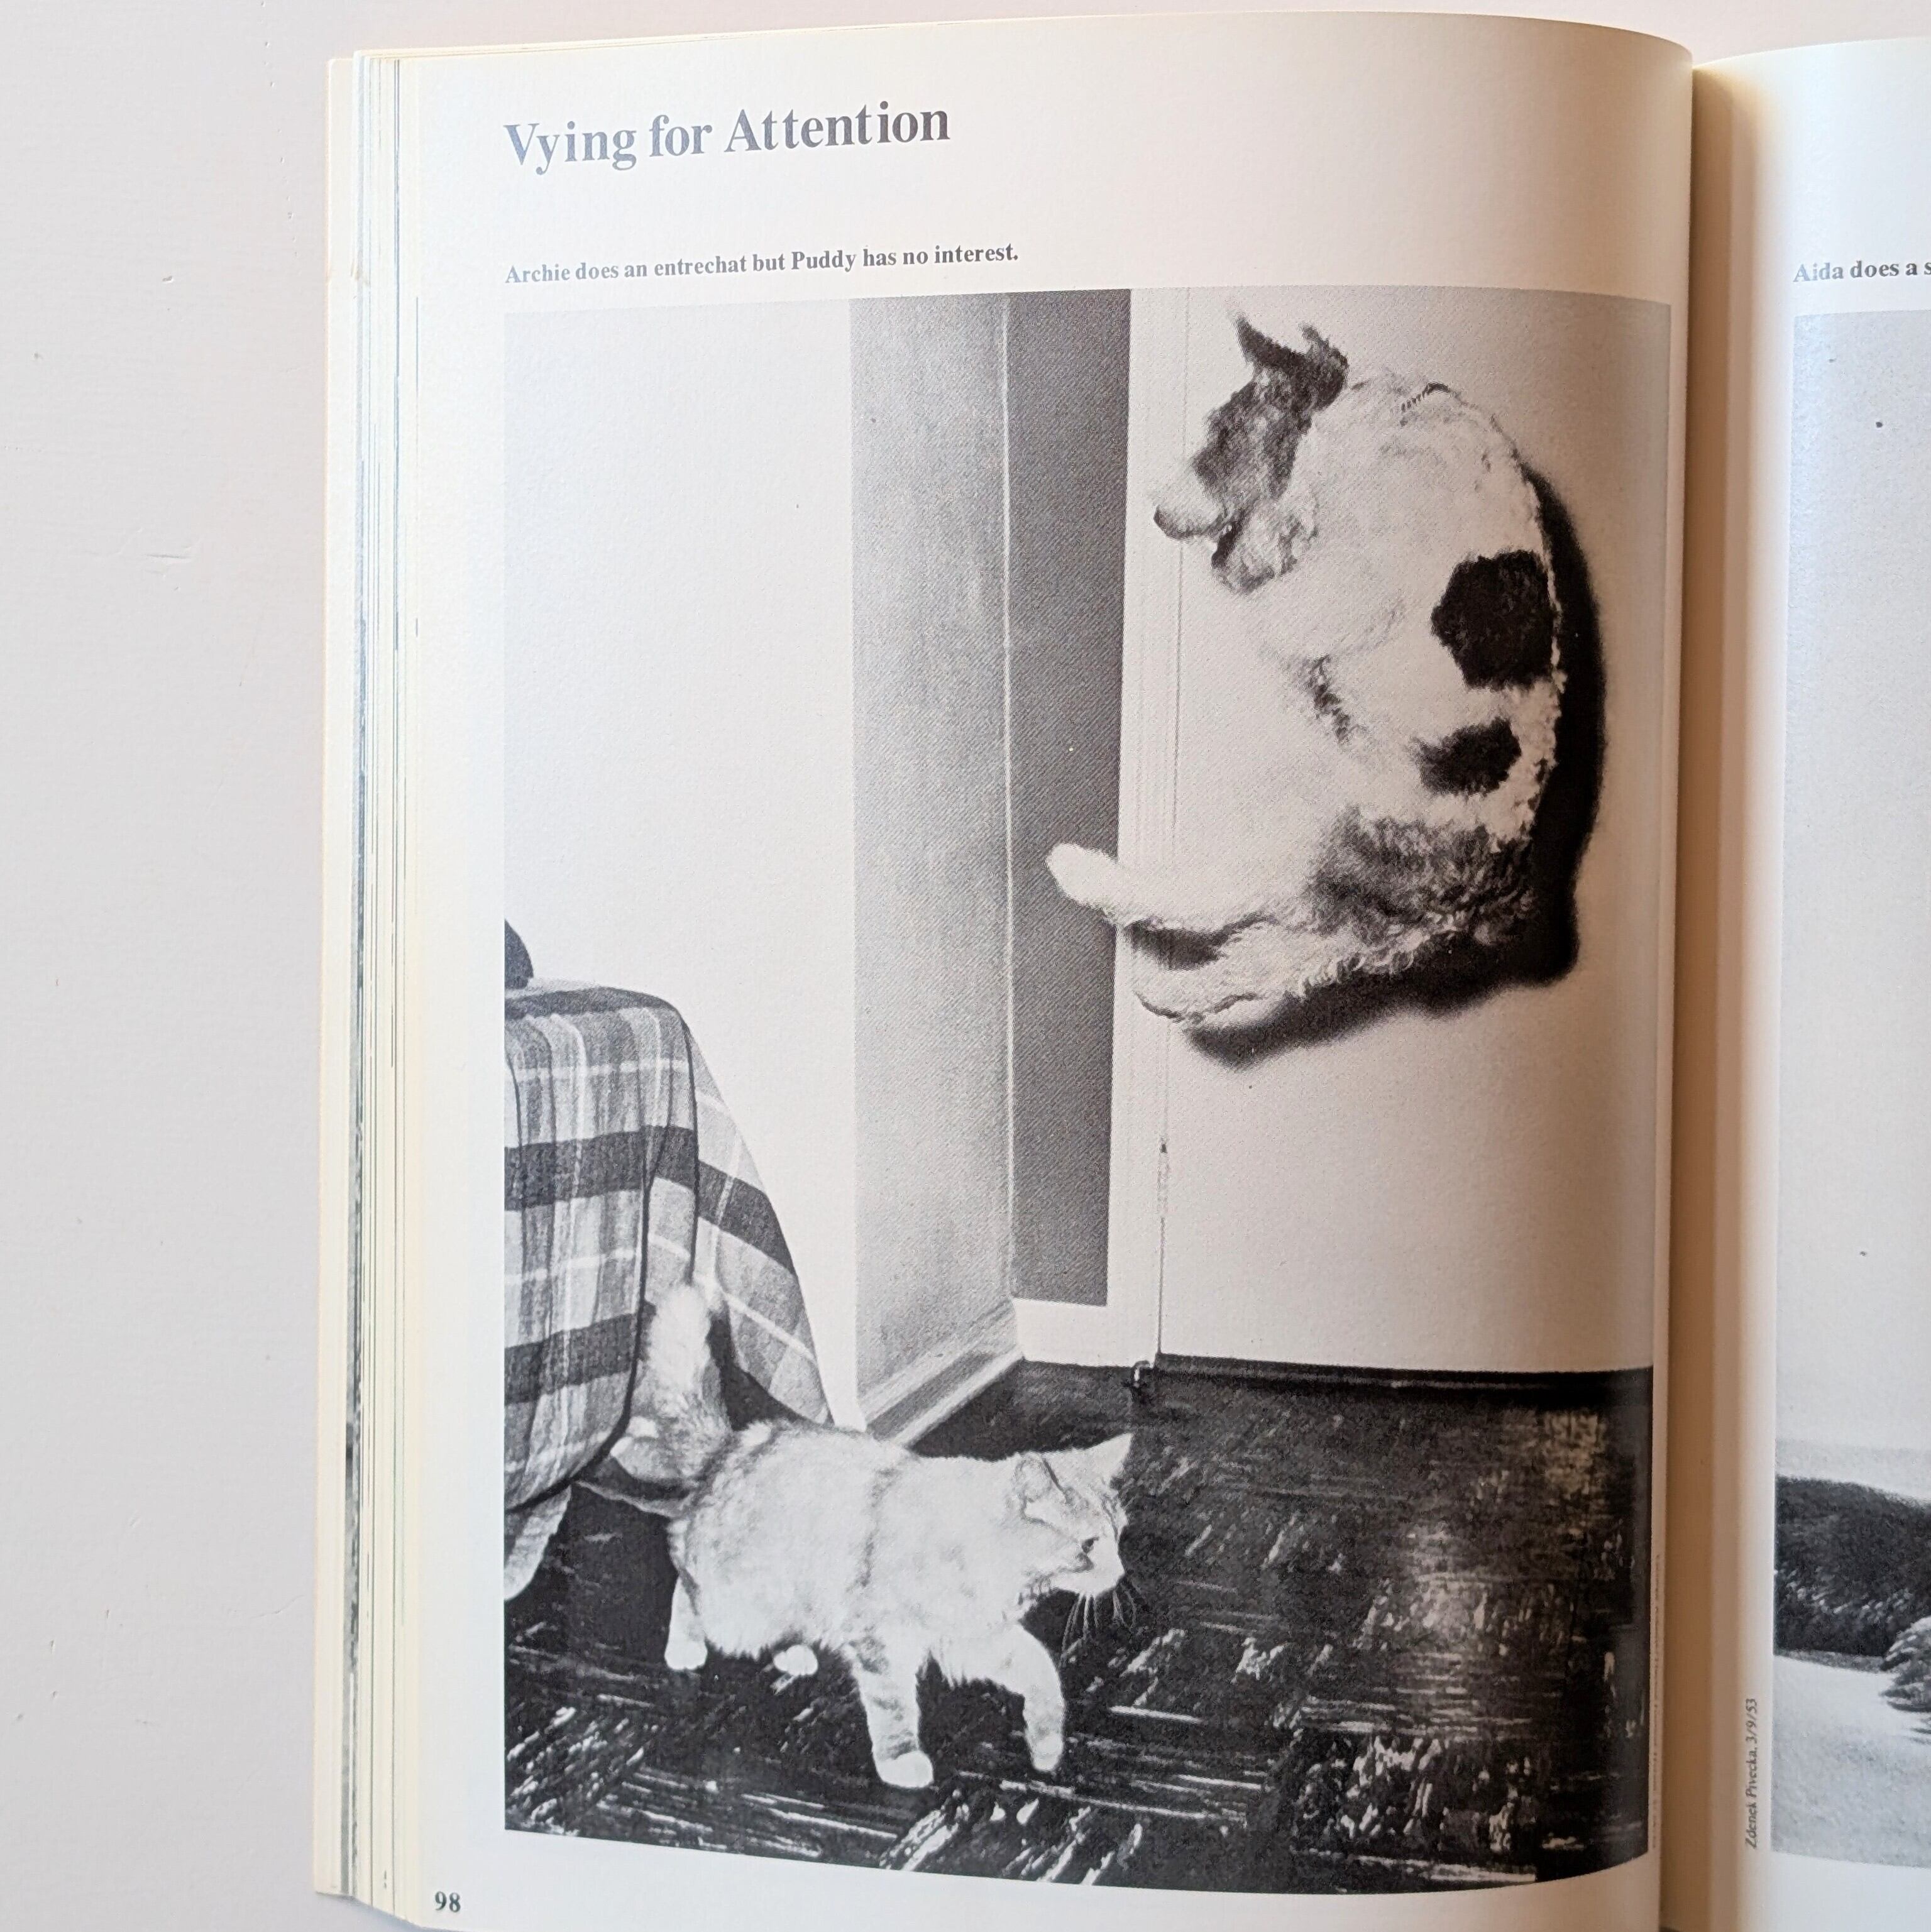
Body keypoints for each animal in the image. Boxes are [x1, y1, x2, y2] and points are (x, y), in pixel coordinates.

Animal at [661, 1422, 1132, 1789]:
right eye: (1089, 1545)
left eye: (1120, 1533)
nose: (1121, 1573)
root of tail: (730, 1448)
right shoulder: (884, 1639)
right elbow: (893, 1705)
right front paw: (899, 1758)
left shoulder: (974, 1636)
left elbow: (1041, 1669)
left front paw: (1047, 1742)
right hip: (736, 1613)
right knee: (682, 1569)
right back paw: (684, 1645)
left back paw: (792, 1652)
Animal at [1049, 317, 1602, 1040]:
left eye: (1223, 432)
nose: (1159, 516)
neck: (1361, 424)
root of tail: (1477, 897)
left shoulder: (1348, 584)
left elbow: (1275, 604)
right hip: (1346, 908)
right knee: (1262, 962)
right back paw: (1170, 993)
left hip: (1307, 828)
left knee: (1213, 895)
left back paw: (1083, 875)